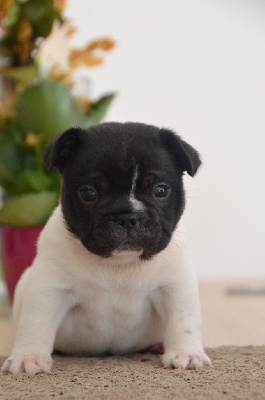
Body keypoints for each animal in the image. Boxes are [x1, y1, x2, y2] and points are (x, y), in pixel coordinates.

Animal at [1, 122, 209, 376]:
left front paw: (185, 354)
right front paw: (27, 358)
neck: (119, 264)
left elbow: (183, 321)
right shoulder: (48, 289)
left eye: (160, 191)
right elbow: (35, 323)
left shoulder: (175, 287)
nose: (128, 217)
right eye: (89, 193)